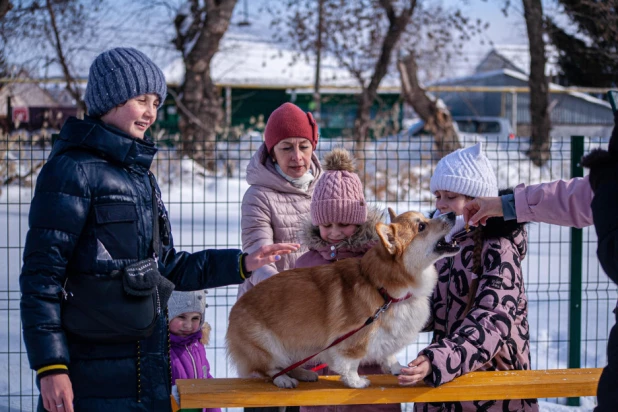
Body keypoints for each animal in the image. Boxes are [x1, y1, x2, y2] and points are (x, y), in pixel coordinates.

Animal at [226, 211, 458, 388]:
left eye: (426, 217)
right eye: (421, 226)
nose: (452, 214)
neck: (384, 290)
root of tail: (233, 309)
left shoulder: (386, 336)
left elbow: (388, 355)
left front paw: (396, 368)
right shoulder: (351, 341)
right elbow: (350, 364)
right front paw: (357, 382)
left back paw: (304, 374)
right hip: (268, 346)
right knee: (271, 369)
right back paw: (283, 380)